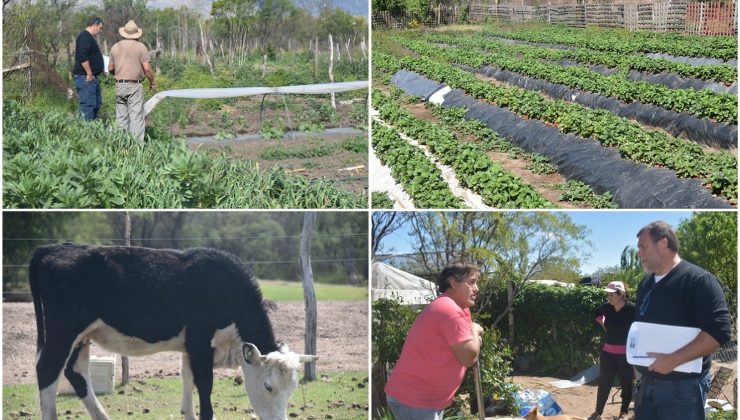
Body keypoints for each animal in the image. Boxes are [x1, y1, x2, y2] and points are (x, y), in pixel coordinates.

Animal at [30, 243, 316, 420]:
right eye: (268, 386)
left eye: (292, 388)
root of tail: (54, 248)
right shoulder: (200, 340)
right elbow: (204, 384)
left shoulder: (191, 347)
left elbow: (188, 378)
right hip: (63, 331)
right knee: (48, 370)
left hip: (82, 337)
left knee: (76, 372)